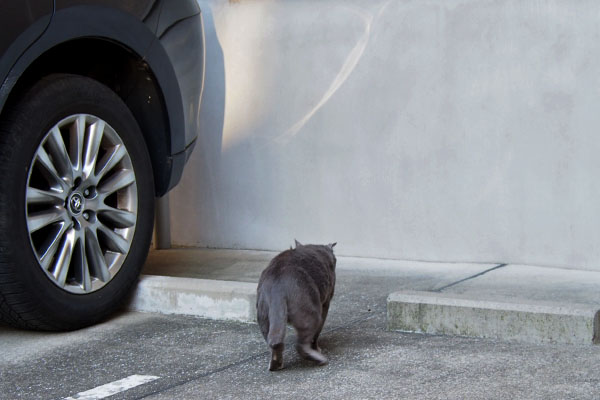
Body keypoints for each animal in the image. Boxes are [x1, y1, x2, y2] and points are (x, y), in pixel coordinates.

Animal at [255, 239, 336, 370]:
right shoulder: (325, 303)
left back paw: (276, 364)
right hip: (310, 312)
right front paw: (317, 347)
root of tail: (278, 288)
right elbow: (317, 334)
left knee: (273, 341)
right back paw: (318, 358)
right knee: (302, 342)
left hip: (263, 314)